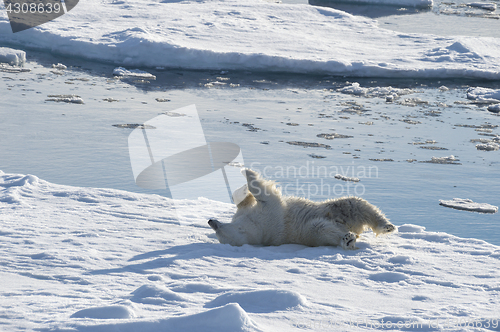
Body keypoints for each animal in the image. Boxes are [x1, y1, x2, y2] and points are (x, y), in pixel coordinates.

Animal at [207, 169, 394, 249]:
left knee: (354, 204)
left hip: (334, 208)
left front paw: (242, 182)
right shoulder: (269, 215)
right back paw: (348, 239)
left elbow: (243, 201)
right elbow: (265, 195)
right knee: (322, 228)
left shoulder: (250, 214)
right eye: (219, 232)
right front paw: (247, 173)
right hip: (310, 232)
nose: (210, 221)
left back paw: (387, 226)